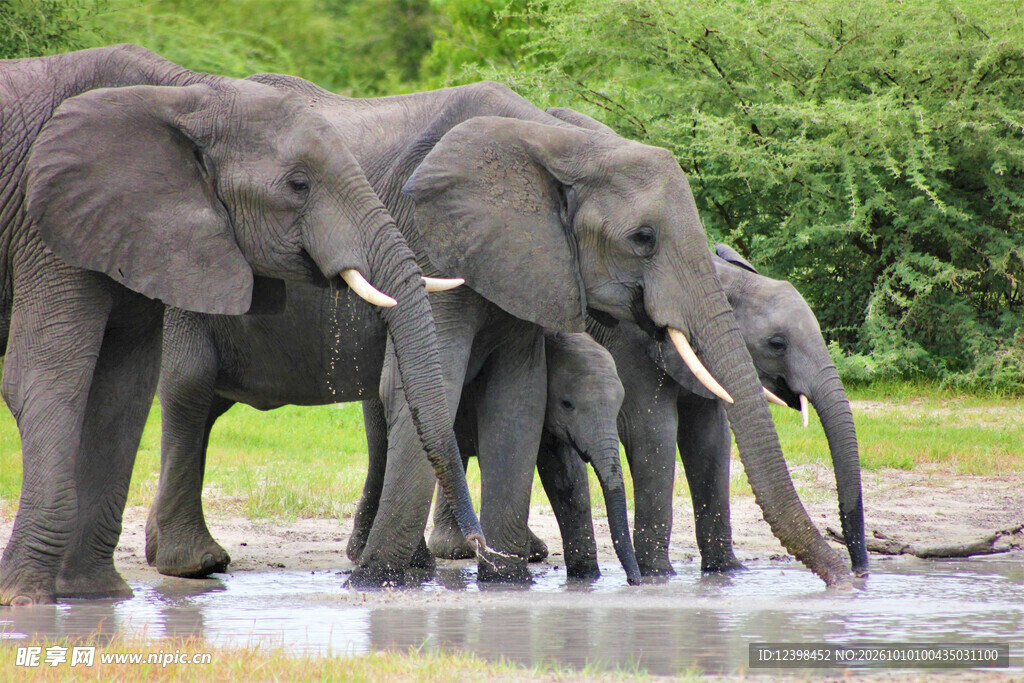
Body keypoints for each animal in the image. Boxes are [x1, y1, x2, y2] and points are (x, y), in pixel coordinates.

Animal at [0, 45, 482, 606]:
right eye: (298, 185)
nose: (483, 547)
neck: (188, 93)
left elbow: (122, 394)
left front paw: (95, 596)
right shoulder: (50, 225)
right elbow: (47, 382)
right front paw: (31, 601)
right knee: (189, 387)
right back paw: (195, 564)